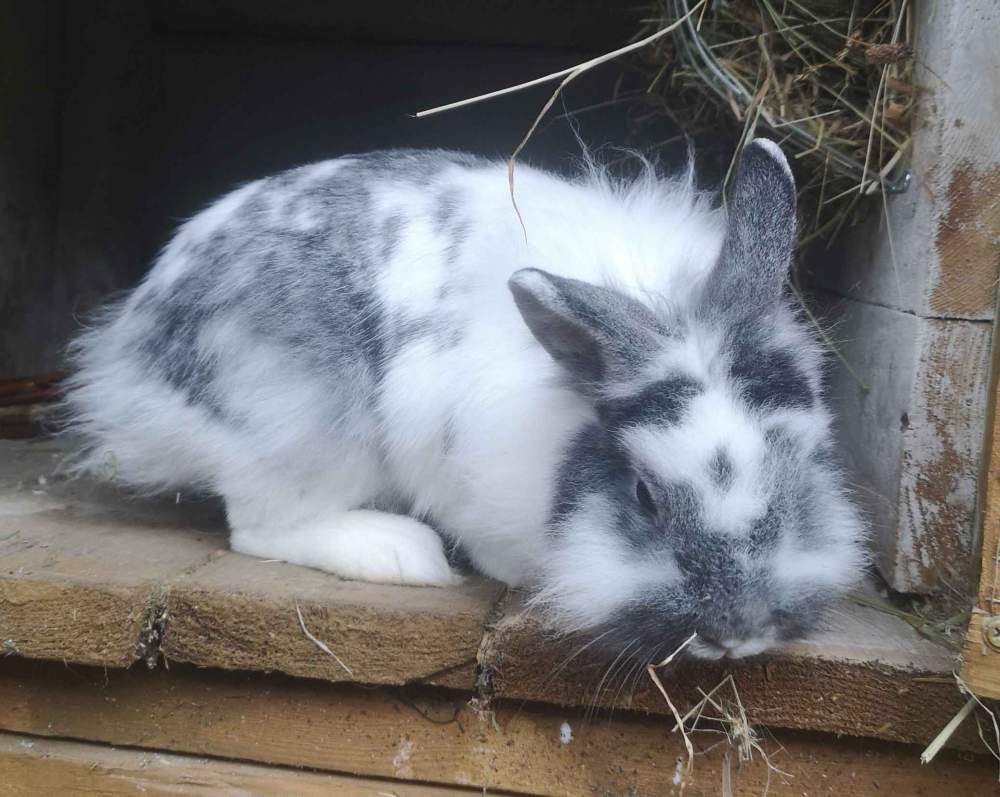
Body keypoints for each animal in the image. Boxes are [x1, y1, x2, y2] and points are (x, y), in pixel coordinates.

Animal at [62, 138, 864, 660]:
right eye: (643, 495)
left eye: (805, 473)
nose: (739, 631)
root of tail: (129, 356)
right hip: (301, 419)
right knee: (259, 526)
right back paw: (400, 553)